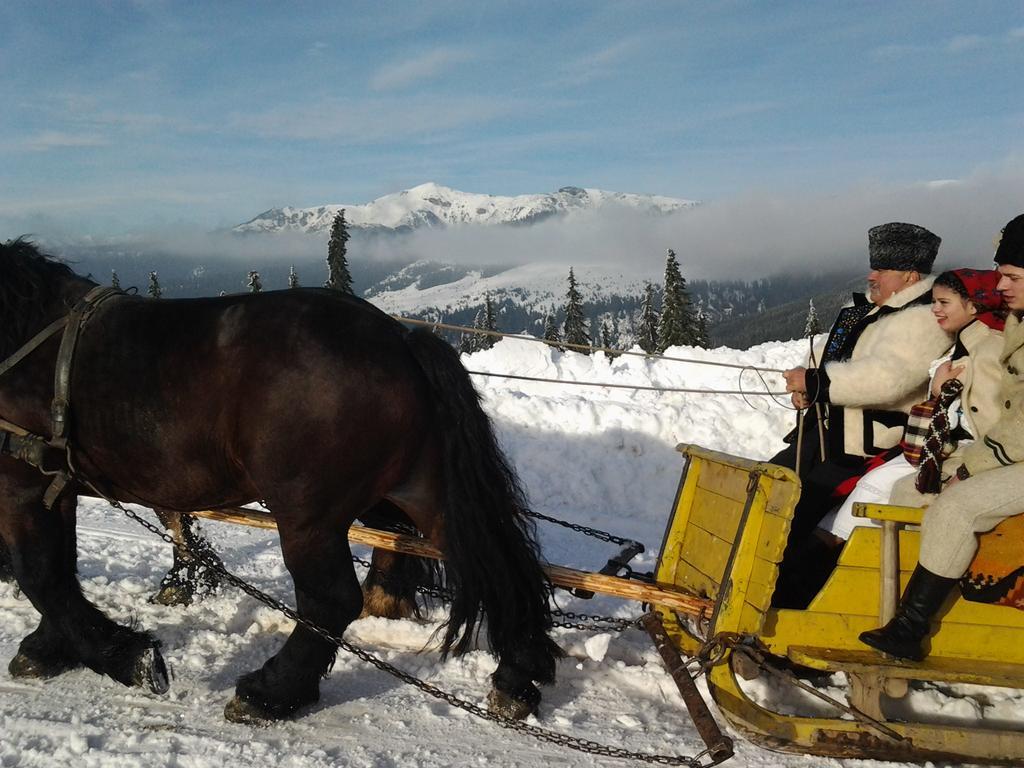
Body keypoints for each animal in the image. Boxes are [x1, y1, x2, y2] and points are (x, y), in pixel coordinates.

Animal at [0, 239, 561, 720]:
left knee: (331, 599)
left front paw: (127, 657)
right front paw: (50, 647)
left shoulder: (22, 484)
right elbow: (56, 568)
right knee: (495, 563)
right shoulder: (53, 487)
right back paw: (517, 678)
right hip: (420, 487)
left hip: (306, 511)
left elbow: (40, 574)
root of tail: (399, 339)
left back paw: (271, 692)